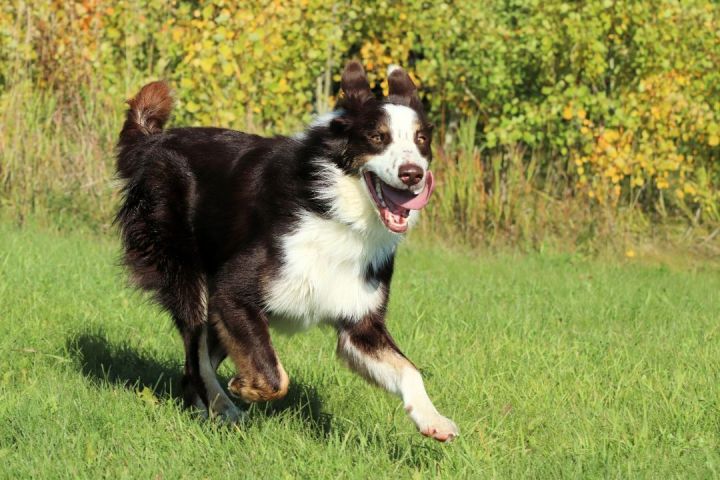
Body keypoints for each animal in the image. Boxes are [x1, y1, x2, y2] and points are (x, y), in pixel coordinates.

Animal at [115, 62, 458, 440]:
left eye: (421, 140)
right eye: (377, 137)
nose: (413, 174)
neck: (337, 210)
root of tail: (153, 142)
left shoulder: (359, 323)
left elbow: (409, 369)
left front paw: (432, 418)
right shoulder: (233, 289)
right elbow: (276, 377)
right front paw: (245, 387)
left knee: (193, 369)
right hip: (190, 280)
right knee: (196, 358)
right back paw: (225, 408)